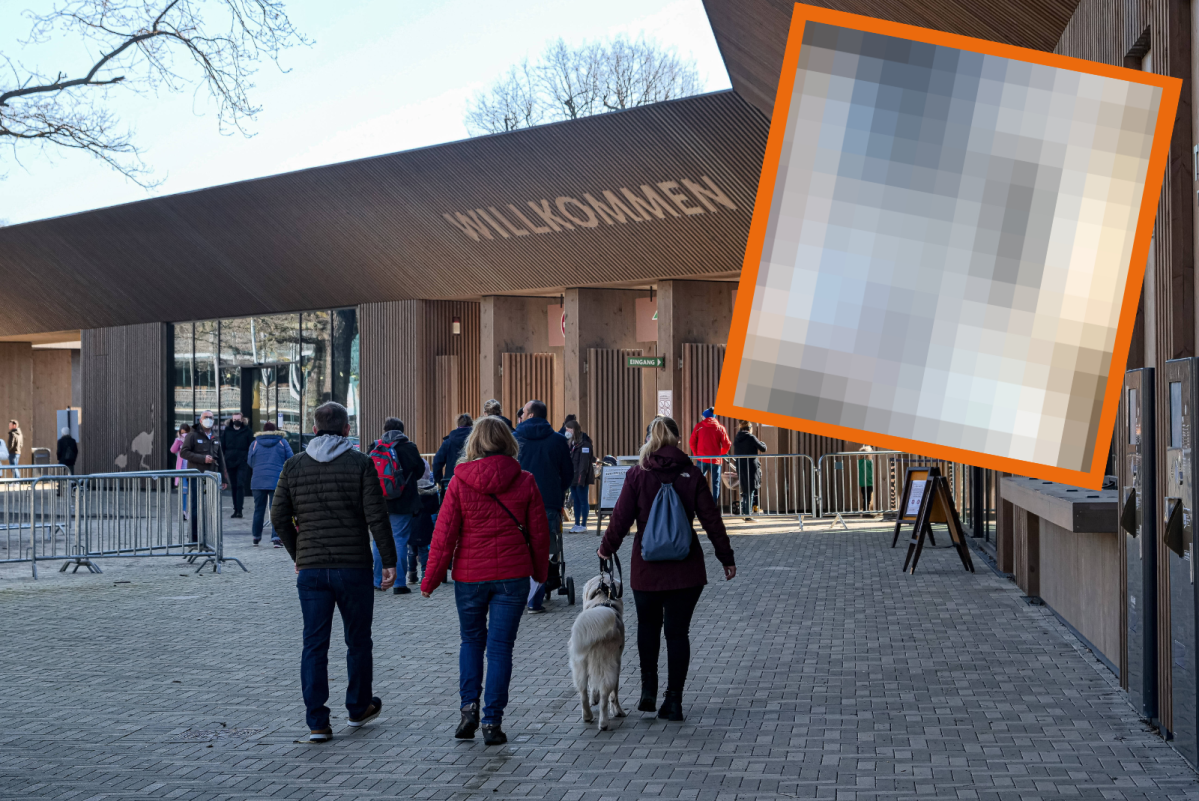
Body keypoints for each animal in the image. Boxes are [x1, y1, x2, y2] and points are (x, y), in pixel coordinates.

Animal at [568, 573, 628, 729]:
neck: (602, 598)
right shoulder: (617, 662)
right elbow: (614, 694)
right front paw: (617, 711)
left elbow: (592, 685)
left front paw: (593, 698)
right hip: (609, 665)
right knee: (605, 695)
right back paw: (604, 722)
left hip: (580, 664)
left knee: (583, 692)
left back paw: (587, 716)